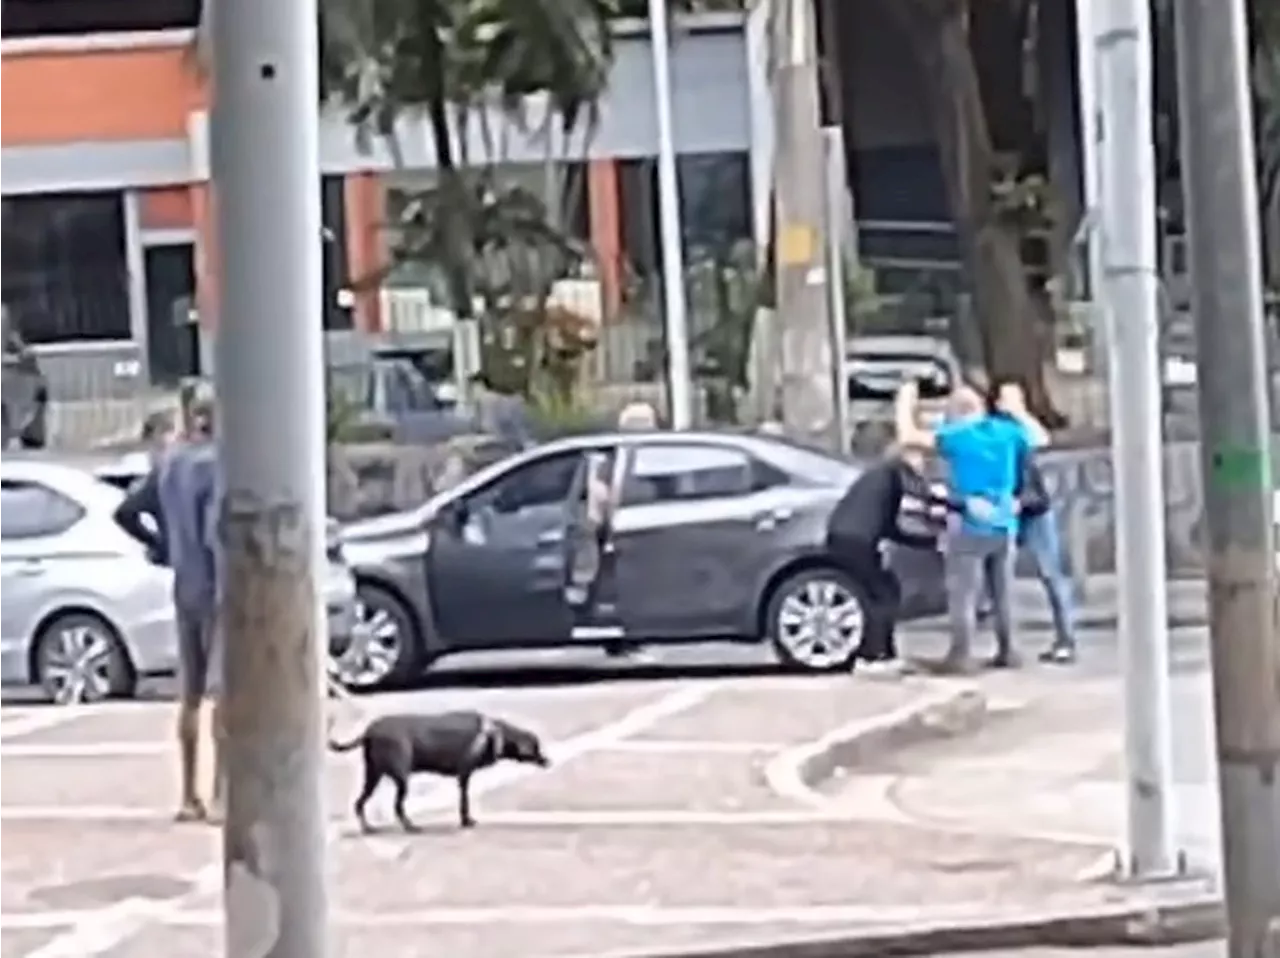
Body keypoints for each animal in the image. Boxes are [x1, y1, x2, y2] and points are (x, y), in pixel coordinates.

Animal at [327, 706, 547, 835]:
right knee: (397, 806)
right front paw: (465, 821)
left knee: (359, 803)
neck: (493, 733)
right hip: (401, 778)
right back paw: (411, 827)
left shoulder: (463, 777)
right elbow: (464, 801)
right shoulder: (464, 775)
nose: (548, 761)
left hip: (373, 775)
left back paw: (368, 828)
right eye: (536, 747)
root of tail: (369, 732)